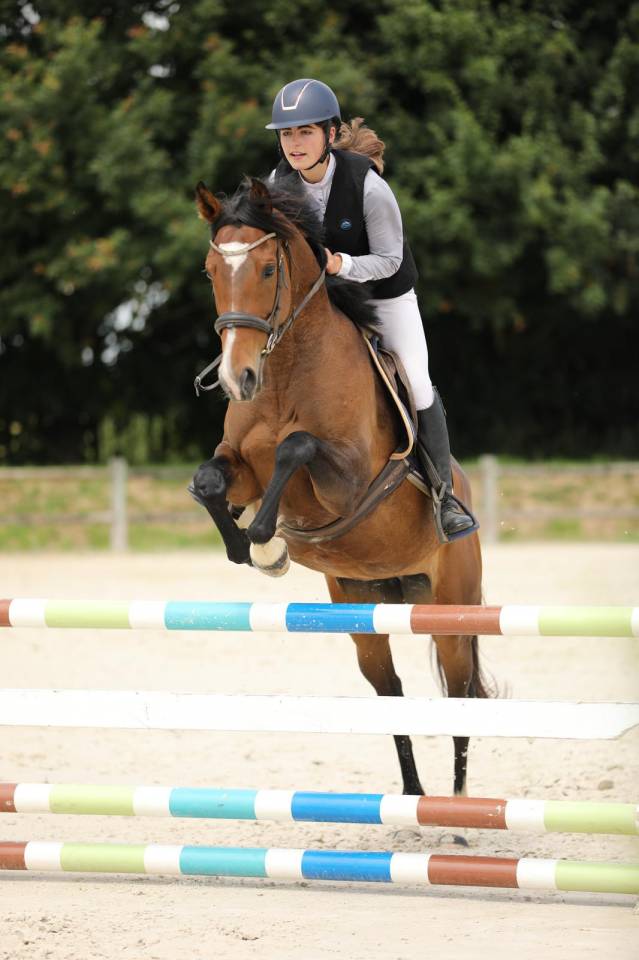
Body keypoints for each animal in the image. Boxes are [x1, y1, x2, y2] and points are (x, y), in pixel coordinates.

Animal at [191, 176, 490, 800]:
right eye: (210, 271)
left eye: (266, 270)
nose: (237, 378)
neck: (283, 373)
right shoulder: (239, 464)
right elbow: (208, 480)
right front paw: (248, 546)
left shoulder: (352, 482)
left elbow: (296, 447)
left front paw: (267, 542)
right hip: (361, 610)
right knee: (389, 690)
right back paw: (412, 796)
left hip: (453, 608)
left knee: (460, 693)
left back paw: (456, 805)